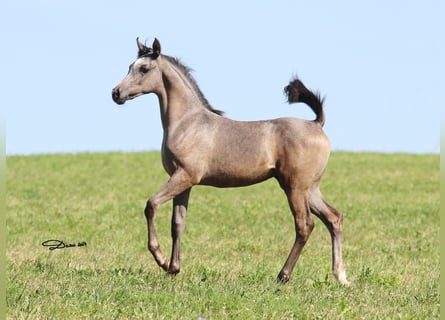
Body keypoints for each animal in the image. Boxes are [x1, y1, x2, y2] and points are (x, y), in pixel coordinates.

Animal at [111, 37, 346, 284]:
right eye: (130, 66)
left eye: (144, 69)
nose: (116, 93)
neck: (188, 123)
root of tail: (316, 123)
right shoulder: (184, 182)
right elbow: (178, 224)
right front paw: (173, 268)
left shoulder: (183, 176)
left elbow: (151, 205)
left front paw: (162, 260)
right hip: (310, 188)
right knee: (333, 217)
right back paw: (341, 275)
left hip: (295, 187)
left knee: (304, 225)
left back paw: (283, 276)